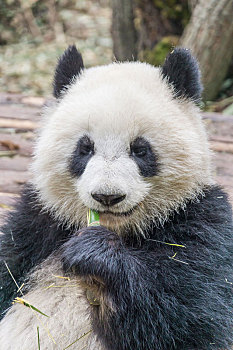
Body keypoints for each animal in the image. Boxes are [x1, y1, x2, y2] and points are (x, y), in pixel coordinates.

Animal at [0, 46, 232, 350]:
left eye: (140, 150)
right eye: (85, 148)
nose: (107, 196)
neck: (121, 231)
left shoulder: (202, 221)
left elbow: (195, 320)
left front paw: (94, 256)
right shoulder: (37, 223)